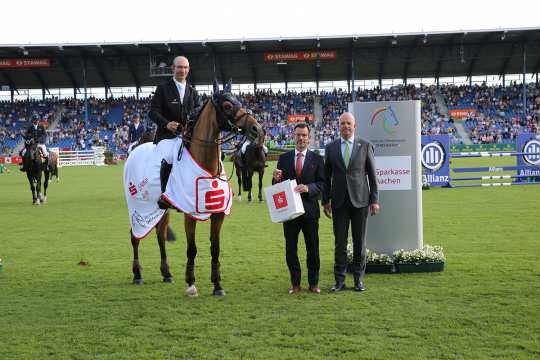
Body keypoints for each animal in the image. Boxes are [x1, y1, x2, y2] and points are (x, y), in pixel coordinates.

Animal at [125, 81, 264, 296]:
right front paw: (191, 283)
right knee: (135, 237)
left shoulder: (218, 214)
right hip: (138, 207)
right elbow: (192, 248)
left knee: (160, 235)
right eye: (227, 106)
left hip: (160, 209)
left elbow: (215, 248)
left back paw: (166, 273)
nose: (257, 129)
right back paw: (137, 274)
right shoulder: (189, 213)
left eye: (240, 102)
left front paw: (217, 285)